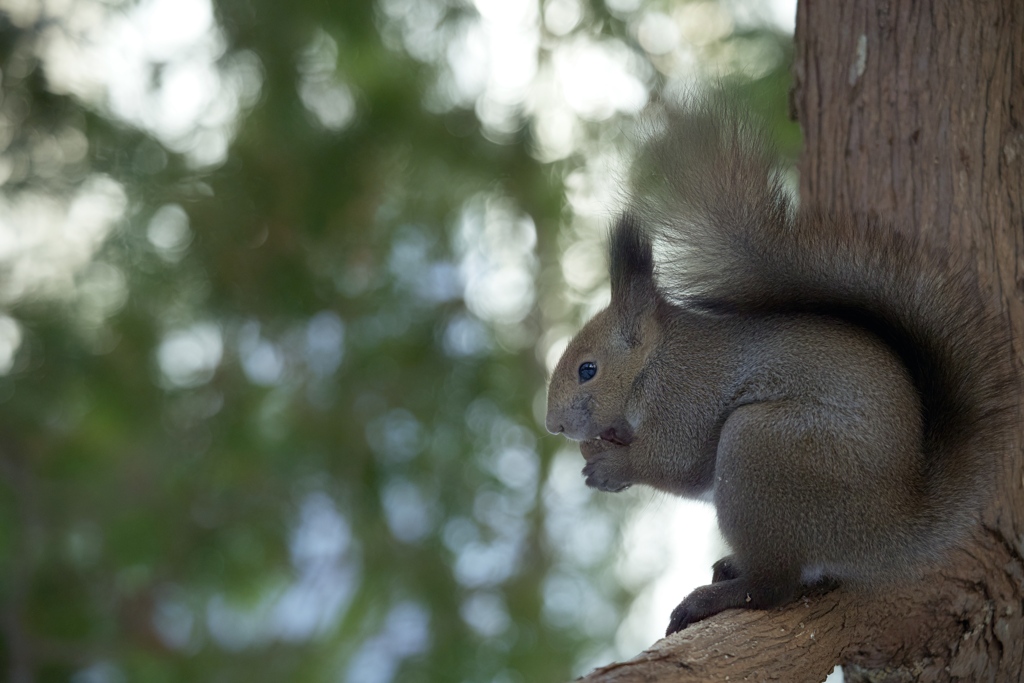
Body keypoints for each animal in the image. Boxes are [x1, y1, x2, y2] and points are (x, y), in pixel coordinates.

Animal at [544, 93, 1015, 638]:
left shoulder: (686, 395)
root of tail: (891, 529)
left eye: (588, 370)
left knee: (774, 587)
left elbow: (675, 461)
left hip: (763, 450)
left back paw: (712, 598)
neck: (654, 363)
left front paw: (612, 465)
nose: (553, 425)